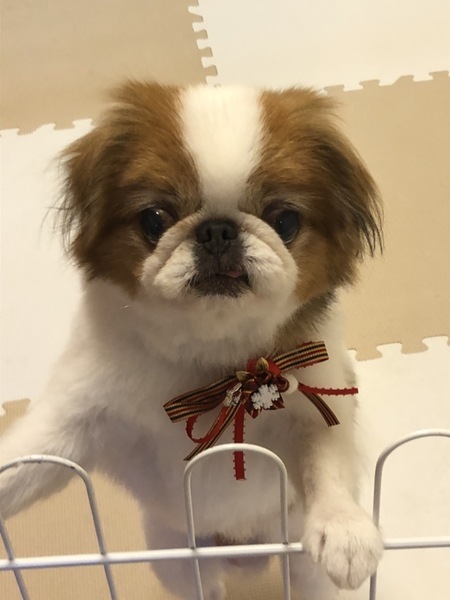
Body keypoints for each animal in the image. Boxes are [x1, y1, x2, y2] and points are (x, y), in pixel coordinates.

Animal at [0, 82, 383, 600]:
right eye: (155, 219)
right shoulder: (76, 419)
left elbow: (328, 463)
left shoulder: (319, 402)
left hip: (302, 569)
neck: (212, 355)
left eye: (284, 220)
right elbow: (26, 459)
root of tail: (246, 553)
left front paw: (344, 529)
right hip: (174, 557)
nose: (217, 229)